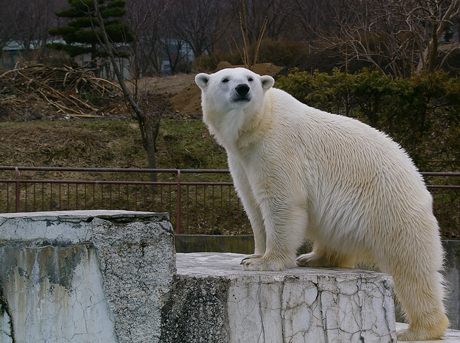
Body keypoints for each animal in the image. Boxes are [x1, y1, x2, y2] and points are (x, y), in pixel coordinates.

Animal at [195, 67, 450, 342]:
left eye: (250, 78)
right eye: (225, 79)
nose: (242, 89)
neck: (258, 124)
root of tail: (416, 175)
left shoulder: (277, 147)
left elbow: (281, 200)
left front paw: (264, 262)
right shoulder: (241, 159)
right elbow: (253, 204)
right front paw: (254, 254)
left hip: (390, 207)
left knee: (411, 267)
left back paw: (418, 330)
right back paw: (313, 257)